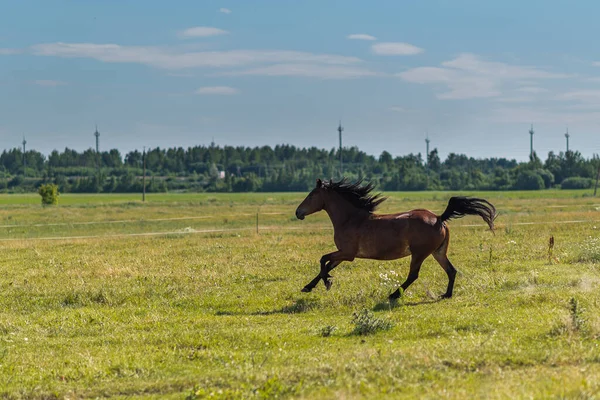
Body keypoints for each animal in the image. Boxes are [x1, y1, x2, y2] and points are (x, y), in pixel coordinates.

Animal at [296, 178, 496, 300]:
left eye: (311, 195)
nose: (298, 213)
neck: (350, 219)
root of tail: (439, 218)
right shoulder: (343, 254)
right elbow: (327, 264)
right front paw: (310, 286)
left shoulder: (347, 253)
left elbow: (323, 260)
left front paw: (327, 282)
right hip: (438, 252)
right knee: (451, 271)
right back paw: (446, 295)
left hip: (419, 253)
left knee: (414, 275)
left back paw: (394, 295)